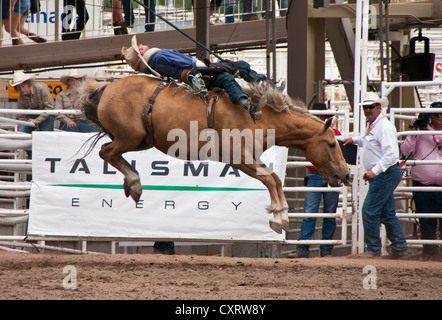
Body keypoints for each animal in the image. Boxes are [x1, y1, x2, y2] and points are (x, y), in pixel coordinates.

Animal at [78, 76, 348, 234]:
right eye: (331, 144)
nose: (345, 174)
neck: (257, 116)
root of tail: (107, 87)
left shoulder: (250, 158)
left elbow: (275, 179)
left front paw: (279, 214)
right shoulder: (239, 157)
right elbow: (271, 179)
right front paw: (279, 218)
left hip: (141, 140)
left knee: (111, 153)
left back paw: (132, 184)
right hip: (130, 137)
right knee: (106, 152)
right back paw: (134, 183)